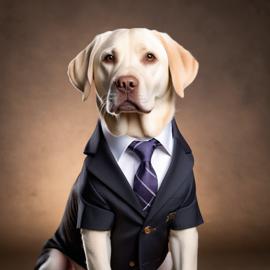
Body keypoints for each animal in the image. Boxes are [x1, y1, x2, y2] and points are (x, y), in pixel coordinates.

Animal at [36, 28, 205, 270]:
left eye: (150, 57)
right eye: (109, 58)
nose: (125, 83)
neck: (140, 138)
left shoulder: (184, 219)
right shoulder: (95, 219)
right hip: (53, 257)